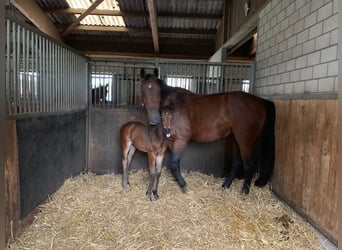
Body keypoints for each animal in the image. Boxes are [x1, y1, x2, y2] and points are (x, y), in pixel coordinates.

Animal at [140, 68, 276, 193]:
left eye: (158, 90)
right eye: (142, 89)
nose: (154, 119)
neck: (174, 106)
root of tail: (260, 101)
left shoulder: (181, 139)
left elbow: (173, 163)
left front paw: (183, 186)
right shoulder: (171, 141)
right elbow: (174, 164)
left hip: (245, 140)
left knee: (249, 164)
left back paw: (244, 190)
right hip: (235, 139)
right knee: (237, 163)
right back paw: (225, 186)